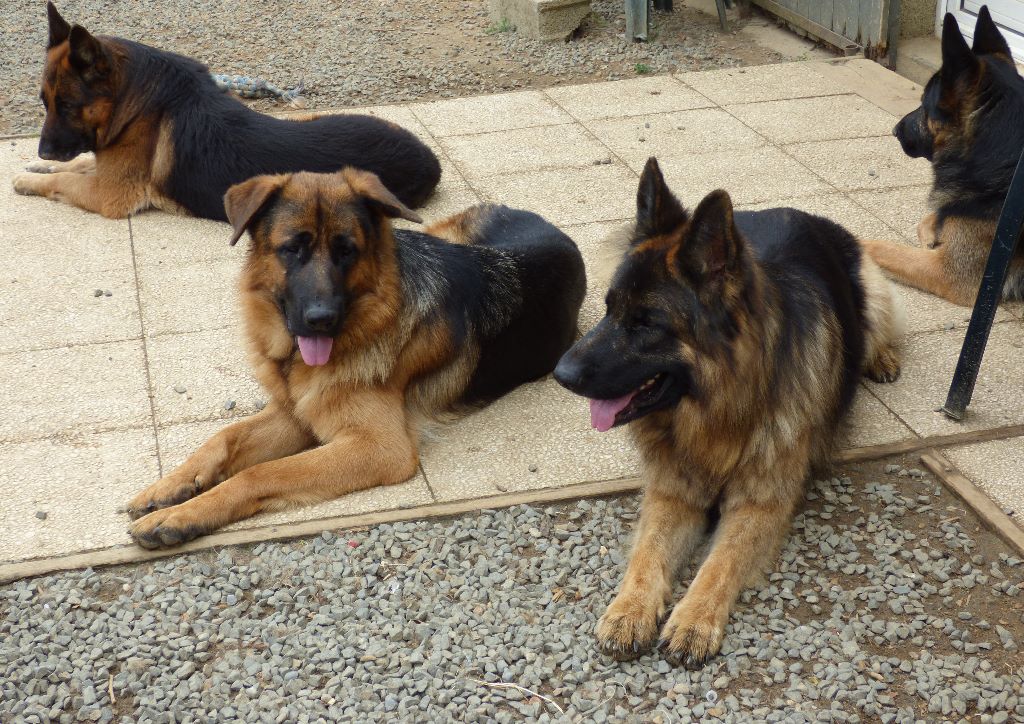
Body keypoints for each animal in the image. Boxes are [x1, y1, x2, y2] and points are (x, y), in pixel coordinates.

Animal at [12, 3, 442, 221]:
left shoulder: (108, 194)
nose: (43, 151)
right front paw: (37, 167)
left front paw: (29, 179)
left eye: (67, 106)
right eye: (44, 104)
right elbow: (78, 165)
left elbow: (64, 181)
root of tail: (431, 162)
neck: (134, 97)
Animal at [122, 166, 585, 544]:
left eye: (347, 251)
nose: (320, 319)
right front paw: (173, 487)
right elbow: (223, 436)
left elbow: (260, 472)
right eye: (292, 249)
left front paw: (185, 515)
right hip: (433, 235)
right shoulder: (295, 413)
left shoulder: (377, 447)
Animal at [864, 6, 1024, 305]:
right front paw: (933, 233)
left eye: (925, 104)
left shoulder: (951, 273)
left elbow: (879, 247)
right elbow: (933, 216)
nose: (894, 130)